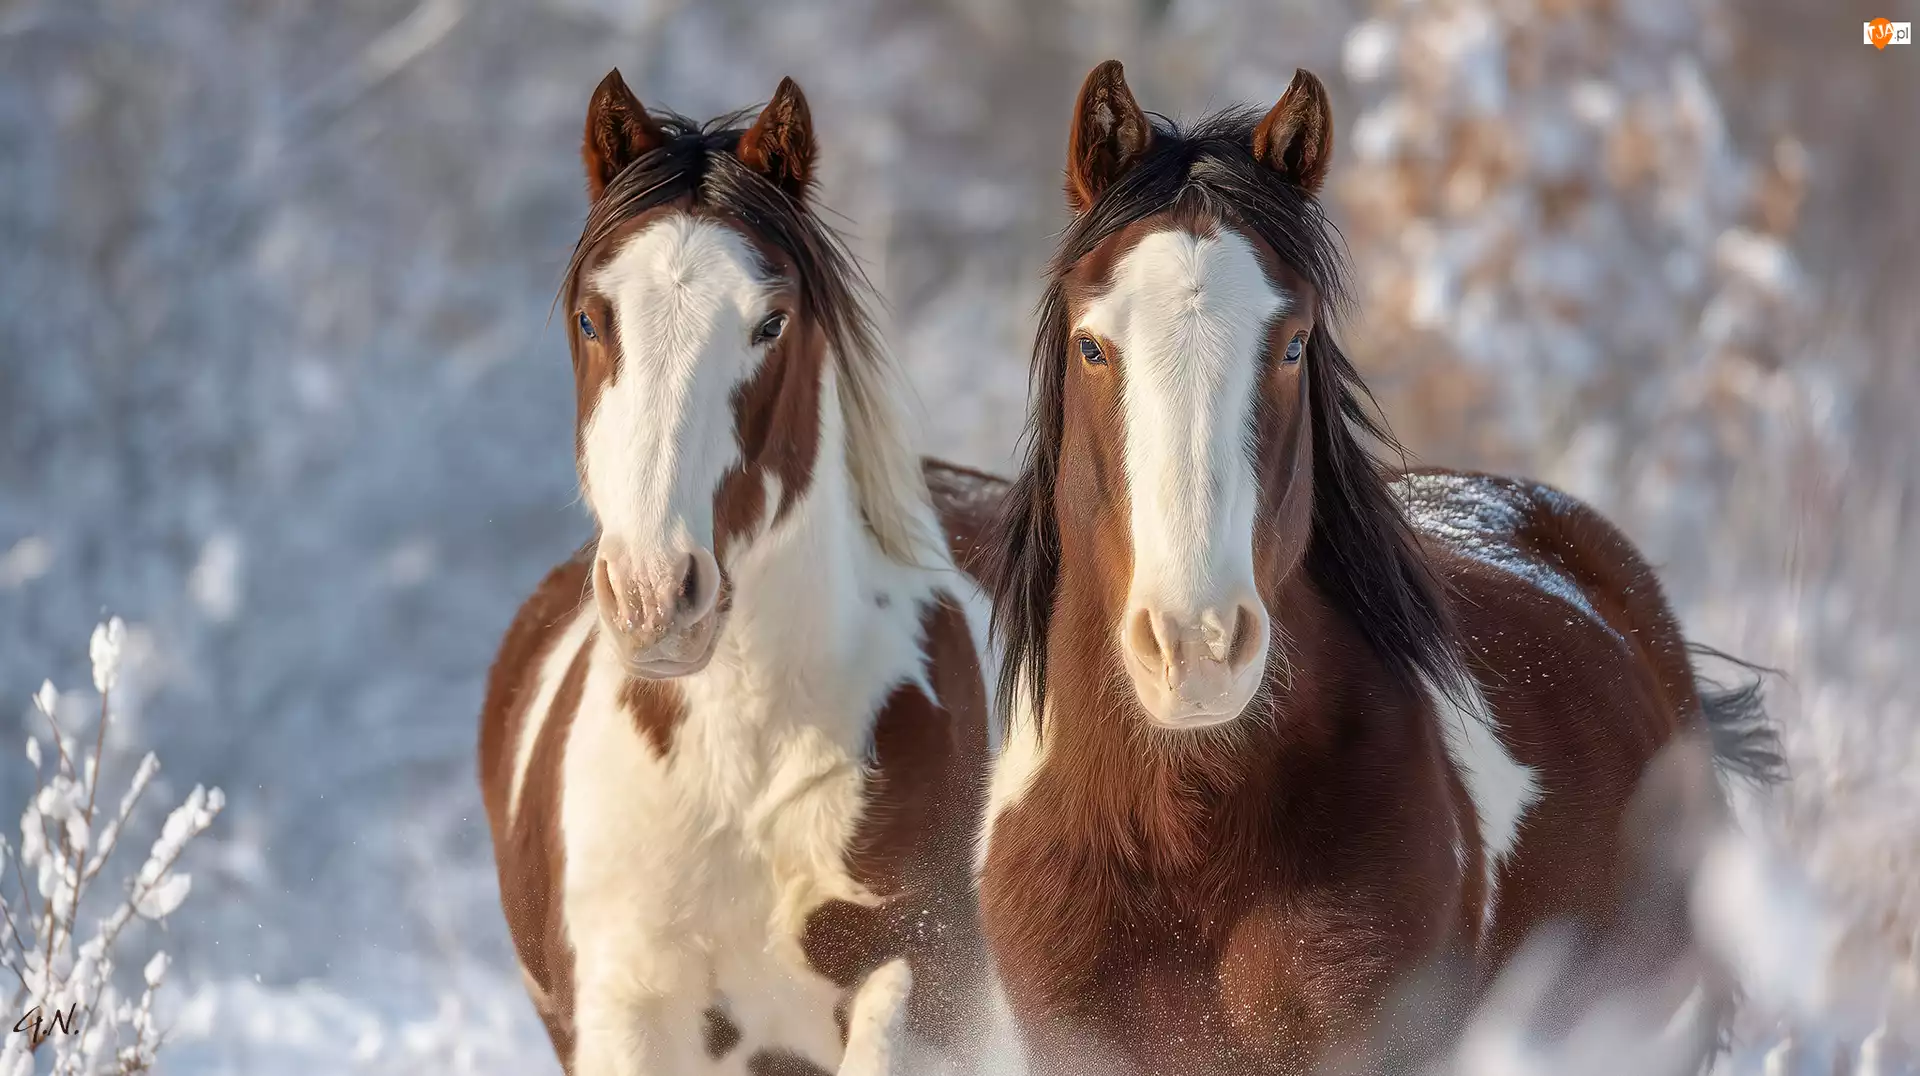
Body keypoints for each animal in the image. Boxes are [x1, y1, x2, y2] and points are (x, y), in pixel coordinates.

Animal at [476, 71, 1005, 1076]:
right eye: (592, 317)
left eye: (771, 321)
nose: (655, 599)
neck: (745, 751)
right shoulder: (626, 1007)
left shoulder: (924, 989)